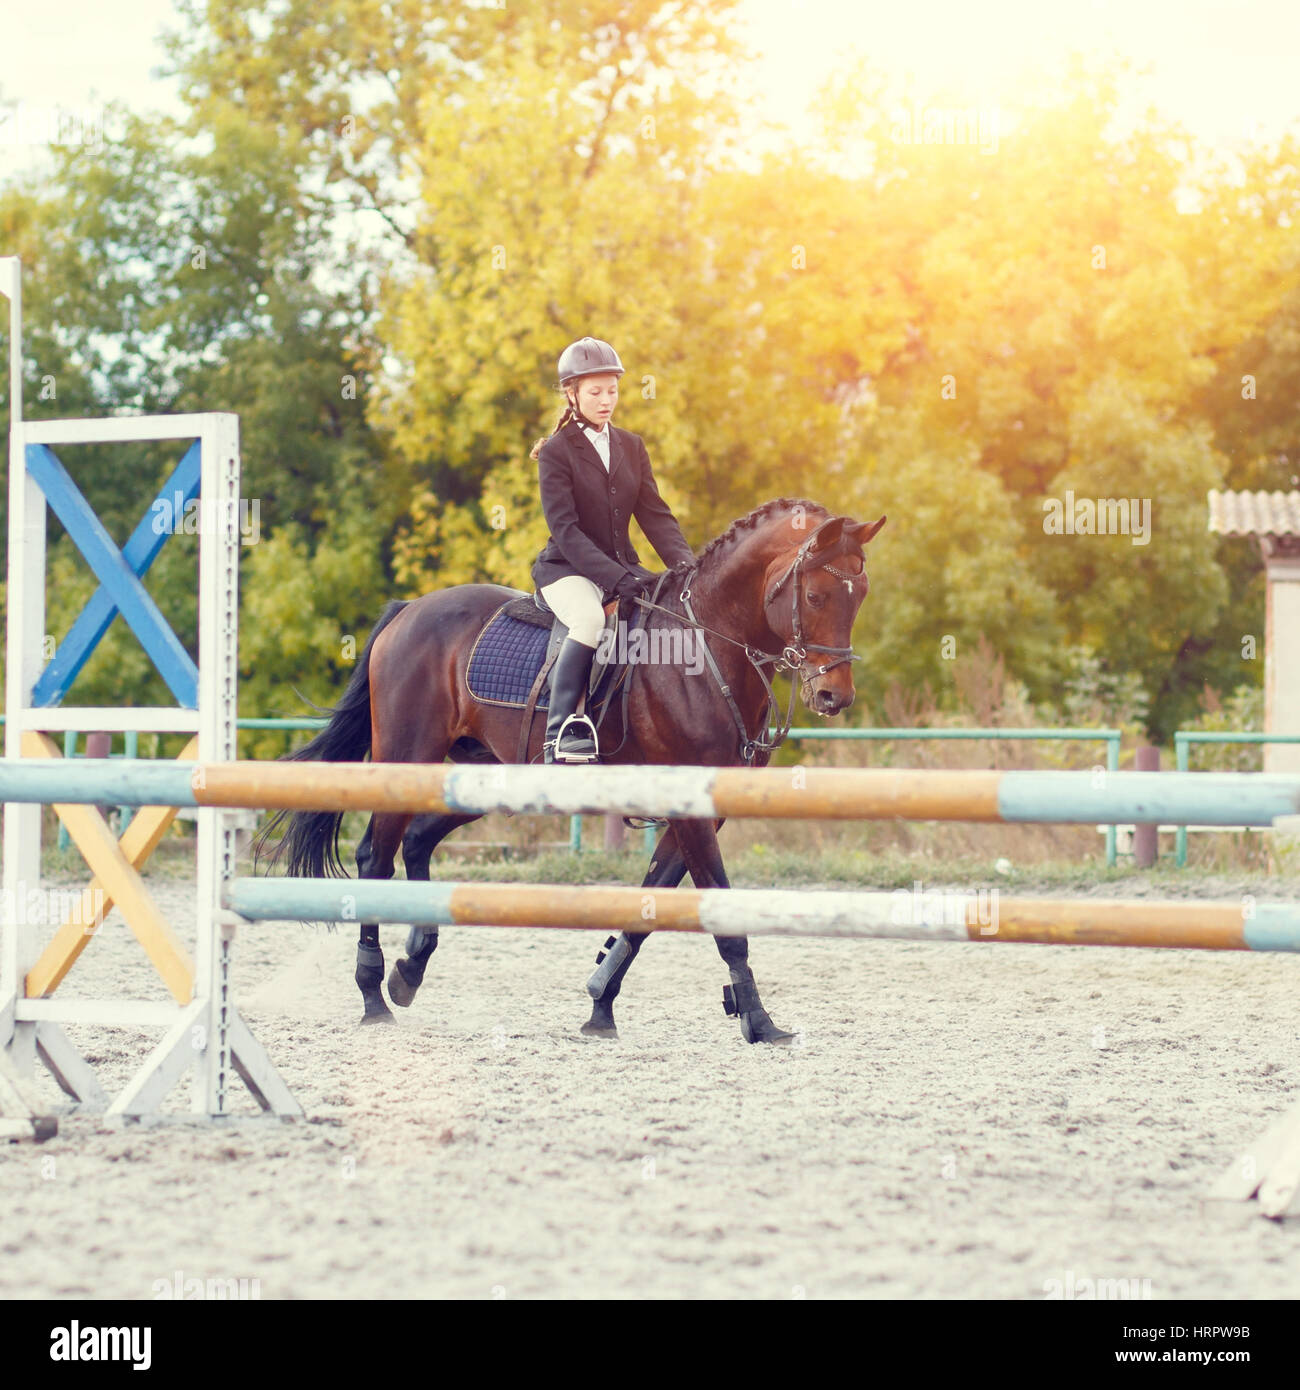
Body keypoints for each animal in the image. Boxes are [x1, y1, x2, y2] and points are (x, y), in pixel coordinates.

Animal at [254, 497, 884, 1045]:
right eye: (817, 594)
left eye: (860, 597)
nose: (835, 696)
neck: (707, 648)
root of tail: (408, 610)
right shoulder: (688, 807)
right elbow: (719, 916)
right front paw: (758, 1020)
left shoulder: (707, 811)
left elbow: (649, 904)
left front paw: (601, 1003)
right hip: (409, 759)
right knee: (375, 856)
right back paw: (373, 996)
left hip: (489, 776)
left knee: (416, 841)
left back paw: (409, 969)